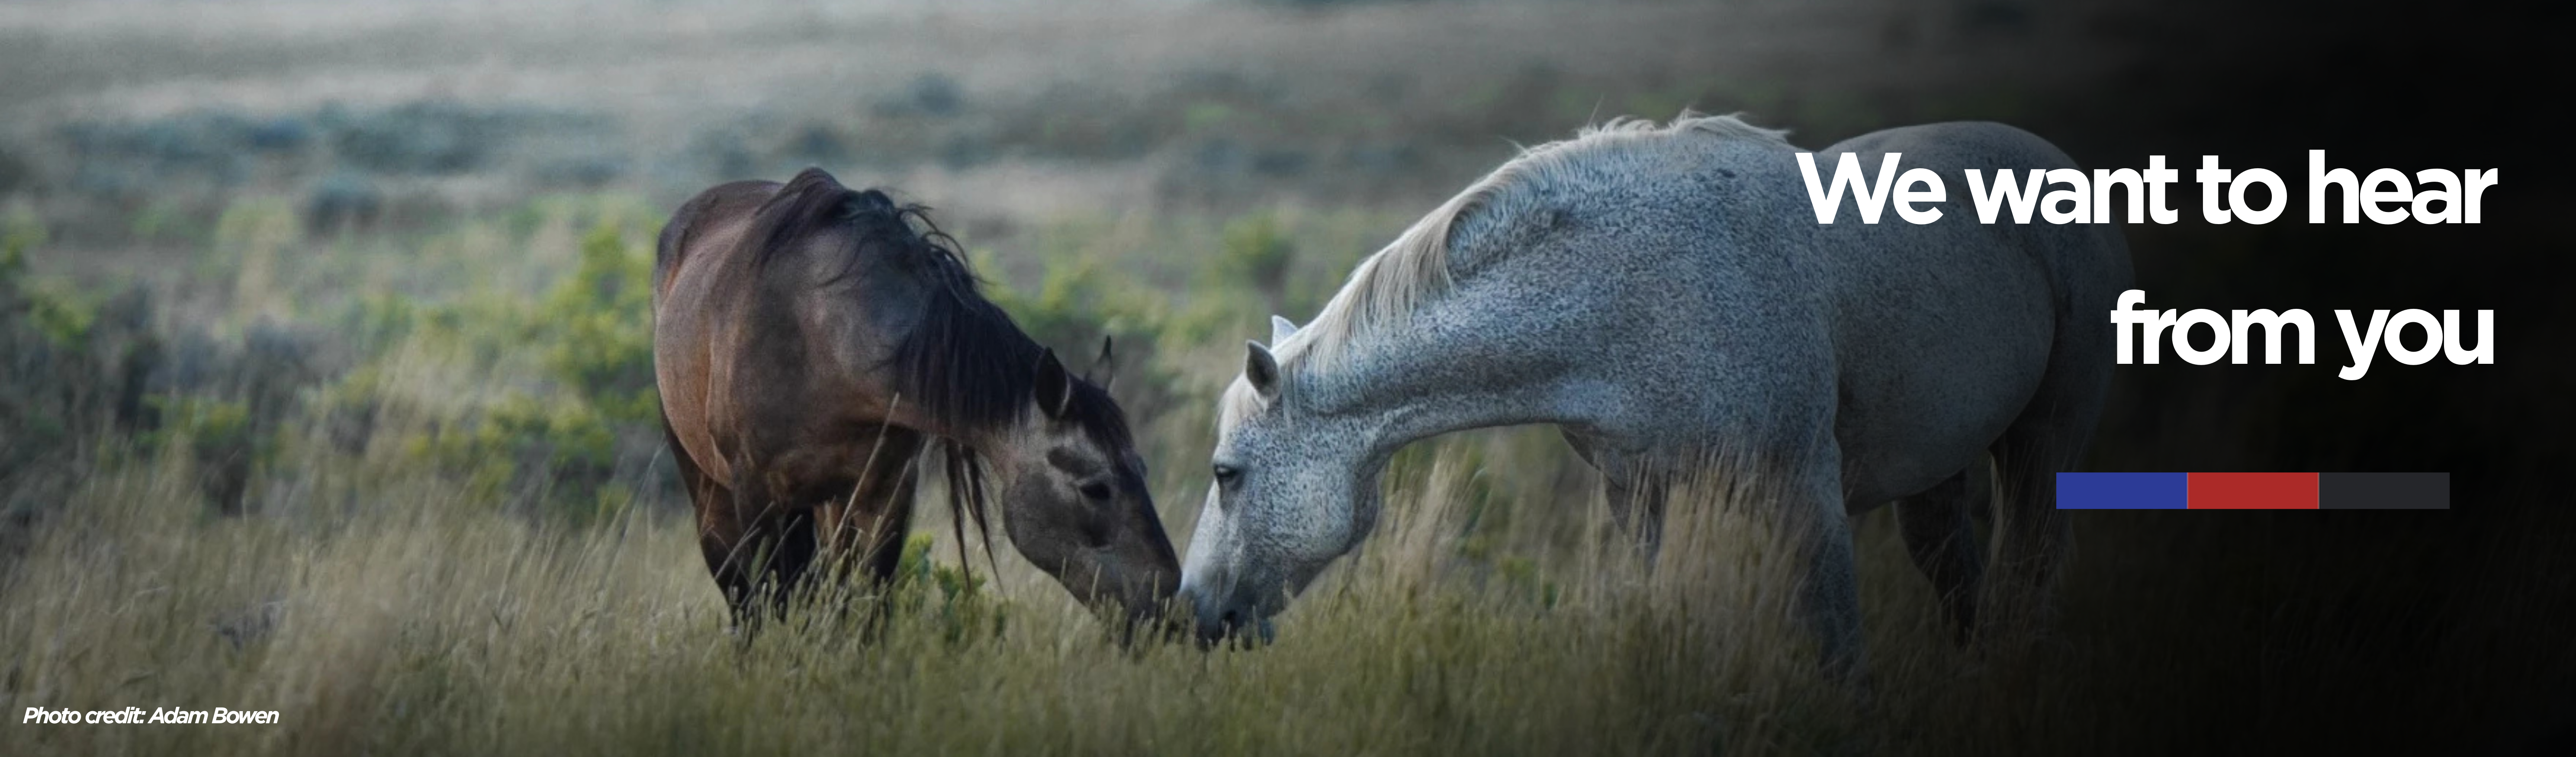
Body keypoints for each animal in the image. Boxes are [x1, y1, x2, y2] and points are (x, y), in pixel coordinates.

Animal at [653, 167, 1179, 632]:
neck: (821, 336)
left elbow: (866, 605)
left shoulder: (886, 493)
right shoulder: (758, 497)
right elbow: (770, 602)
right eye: (1096, 488)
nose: (1166, 598)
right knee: (743, 597)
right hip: (713, 496)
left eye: (1142, 468)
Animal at [1176, 114, 2132, 672]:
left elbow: (1835, 645)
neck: (1632, 293)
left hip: (2043, 444)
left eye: (1227, 473)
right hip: (1937, 472)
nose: (1191, 611)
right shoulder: (1637, 493)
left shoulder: (1805, 491)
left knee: (2026, 574)